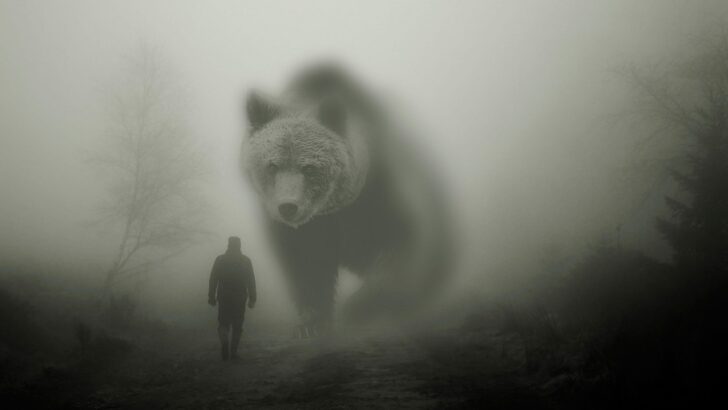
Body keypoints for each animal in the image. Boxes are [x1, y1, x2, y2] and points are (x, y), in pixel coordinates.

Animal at [241, 63, 452, 333]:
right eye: (272, 165)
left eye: (309, 167)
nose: (288, 207)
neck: (336, 208)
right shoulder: (306, 229)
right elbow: (307, 265)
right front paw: (312, 322)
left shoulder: (379, 195)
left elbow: (400, 245)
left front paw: (359, 306)